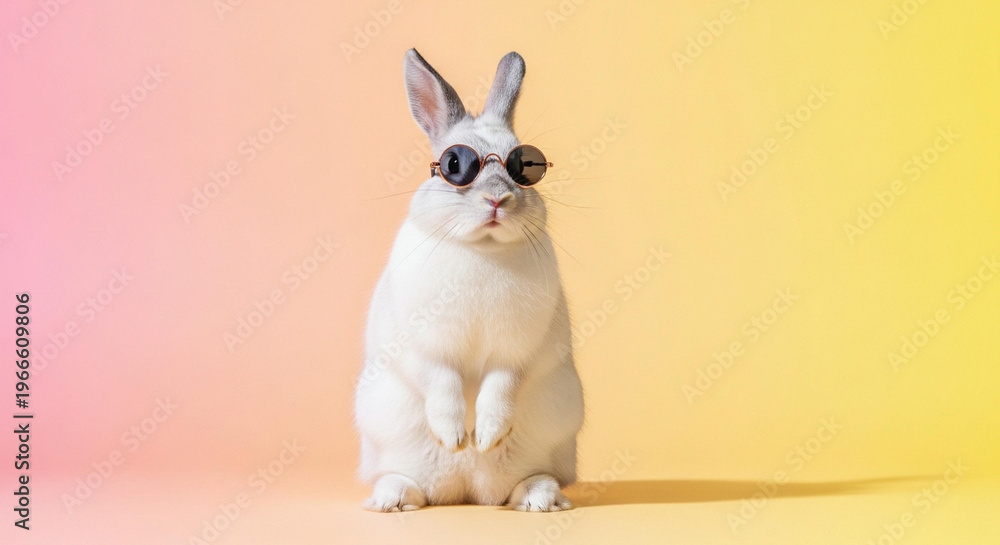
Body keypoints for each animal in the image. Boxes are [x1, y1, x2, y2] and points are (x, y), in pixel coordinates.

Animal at [354, 49, 584, 512]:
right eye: (453, 164)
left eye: (524, 166)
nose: (498, 199)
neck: (483, 249)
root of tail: (467, 489)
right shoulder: (425, 347)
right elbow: (442, 382)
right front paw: (456, 437)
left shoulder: (517, 352)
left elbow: (501, 385)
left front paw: (486, 436)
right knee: (408, 482)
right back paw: (392, 499)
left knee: (525, 482)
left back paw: (539, 499)